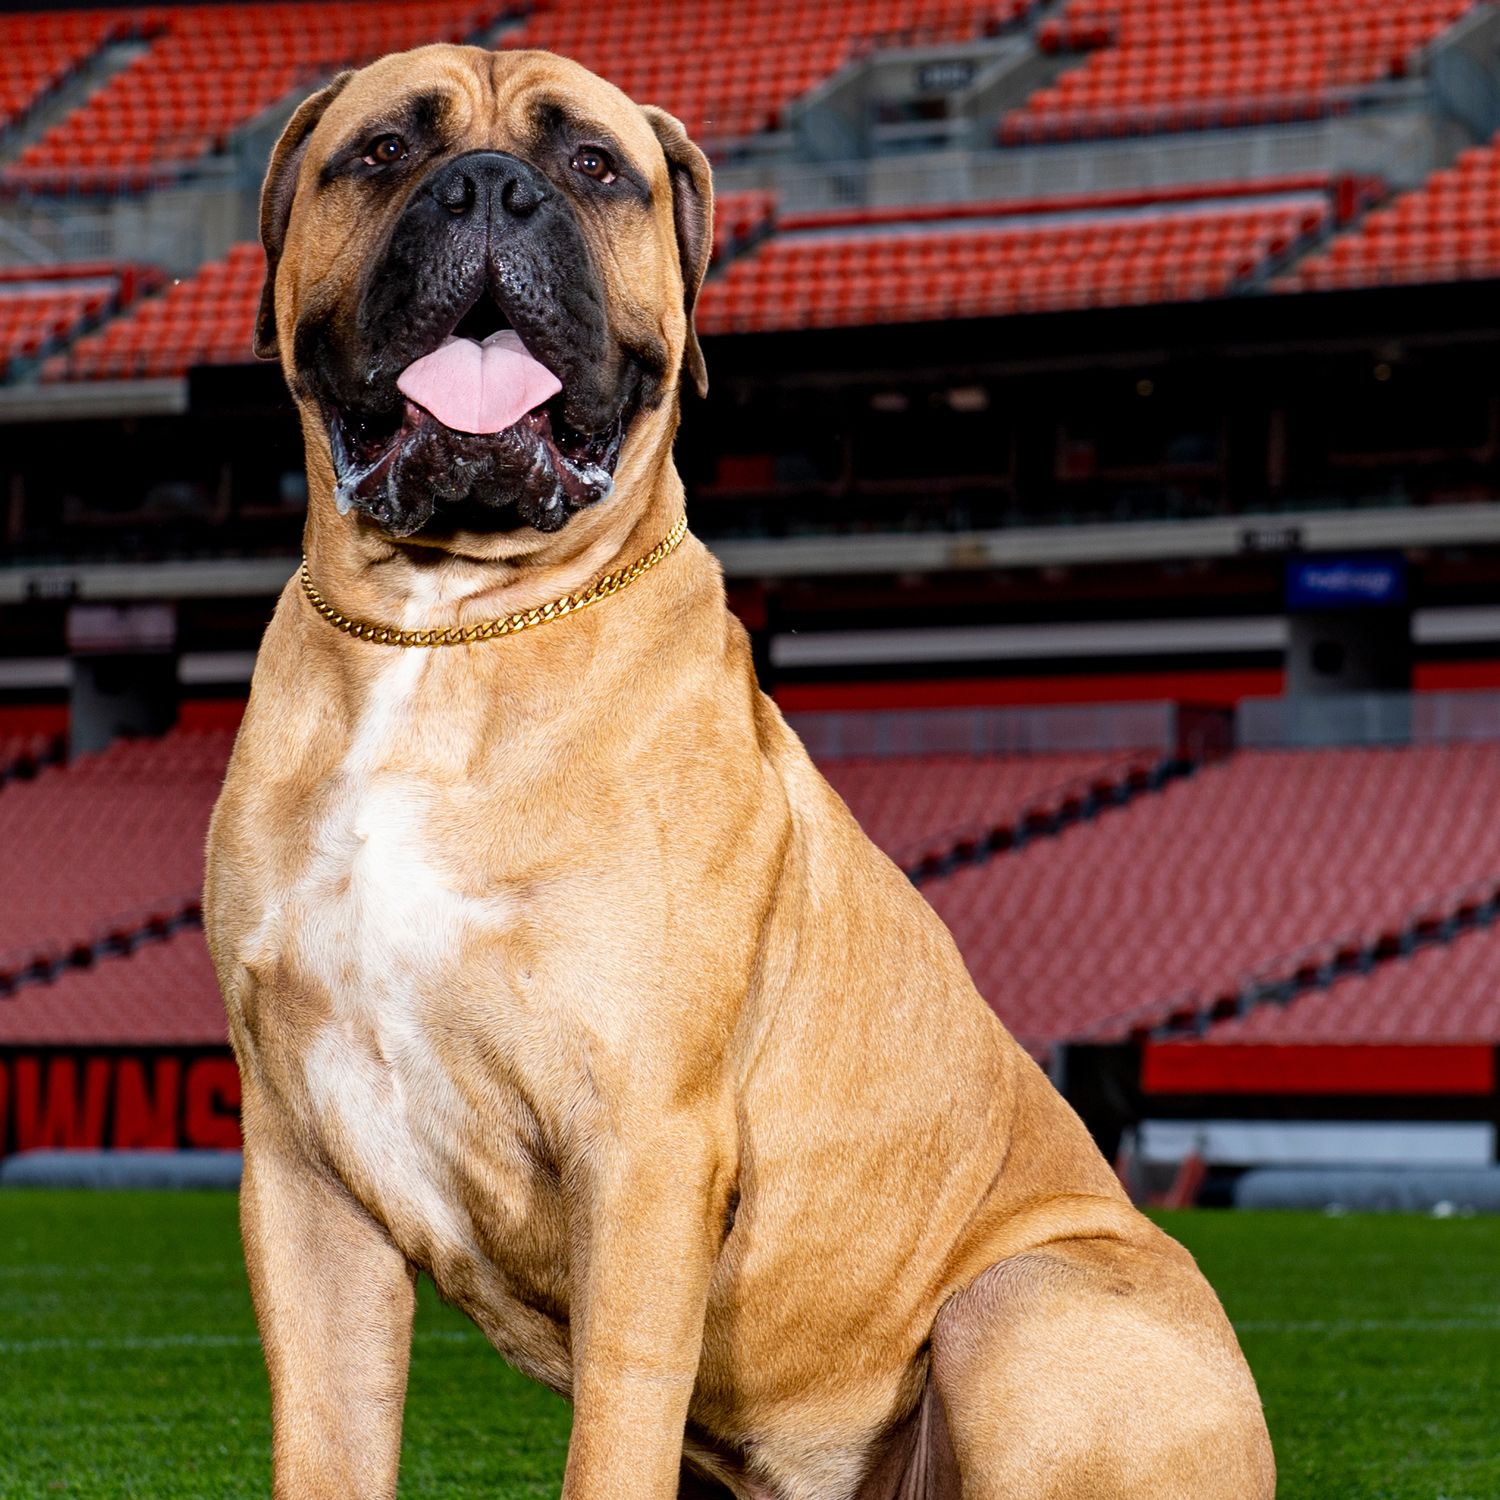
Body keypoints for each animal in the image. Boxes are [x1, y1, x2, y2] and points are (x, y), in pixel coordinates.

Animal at [202, 43, 1278, 1500]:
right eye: (383, 150)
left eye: (594, 164)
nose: (488, 188)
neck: (449, 632)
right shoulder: (305, 1172)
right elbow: (328, 1440)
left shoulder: (645, 1151)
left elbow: (614, 1432)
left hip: (1020, 1306)